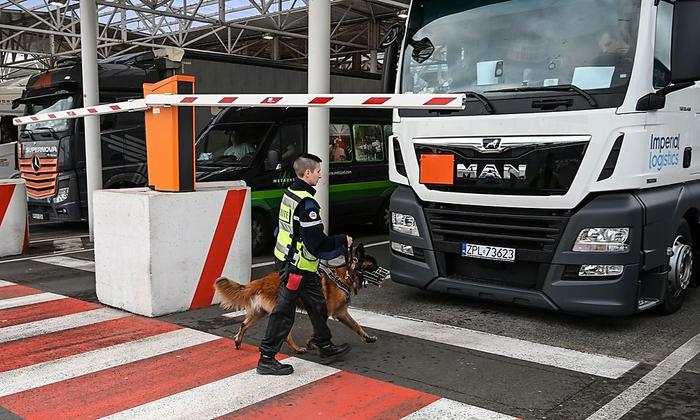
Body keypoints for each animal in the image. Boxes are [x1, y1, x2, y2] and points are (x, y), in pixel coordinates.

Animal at [216, 243, 386, 354]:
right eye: (372, 266)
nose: (387, 273)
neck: (344, 275)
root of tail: (260, 281)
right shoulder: (328, 312)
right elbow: (317, 329)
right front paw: (314, 343)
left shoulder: (341, 313)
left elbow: (356, 325)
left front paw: (368, 337)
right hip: (285, 311)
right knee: (285, 334)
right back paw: (297, 349)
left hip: (260, 312)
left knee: (244, 324)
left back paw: (238, 341)